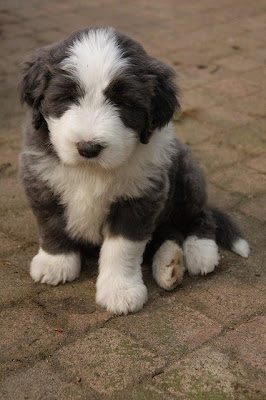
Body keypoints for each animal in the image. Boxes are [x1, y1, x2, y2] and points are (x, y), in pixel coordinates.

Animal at [18, 28, 249, 316]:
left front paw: (120, 292)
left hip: (186, 175)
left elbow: (122, 249)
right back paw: (169, 265)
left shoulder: (140, 197)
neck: (92, 171)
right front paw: (56, 263)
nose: (88, 148)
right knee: (168, 232)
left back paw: (201, 253)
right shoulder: (41, 180)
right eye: (67, 97)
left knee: (199, 216)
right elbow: (51, 224)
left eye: (123, 102)